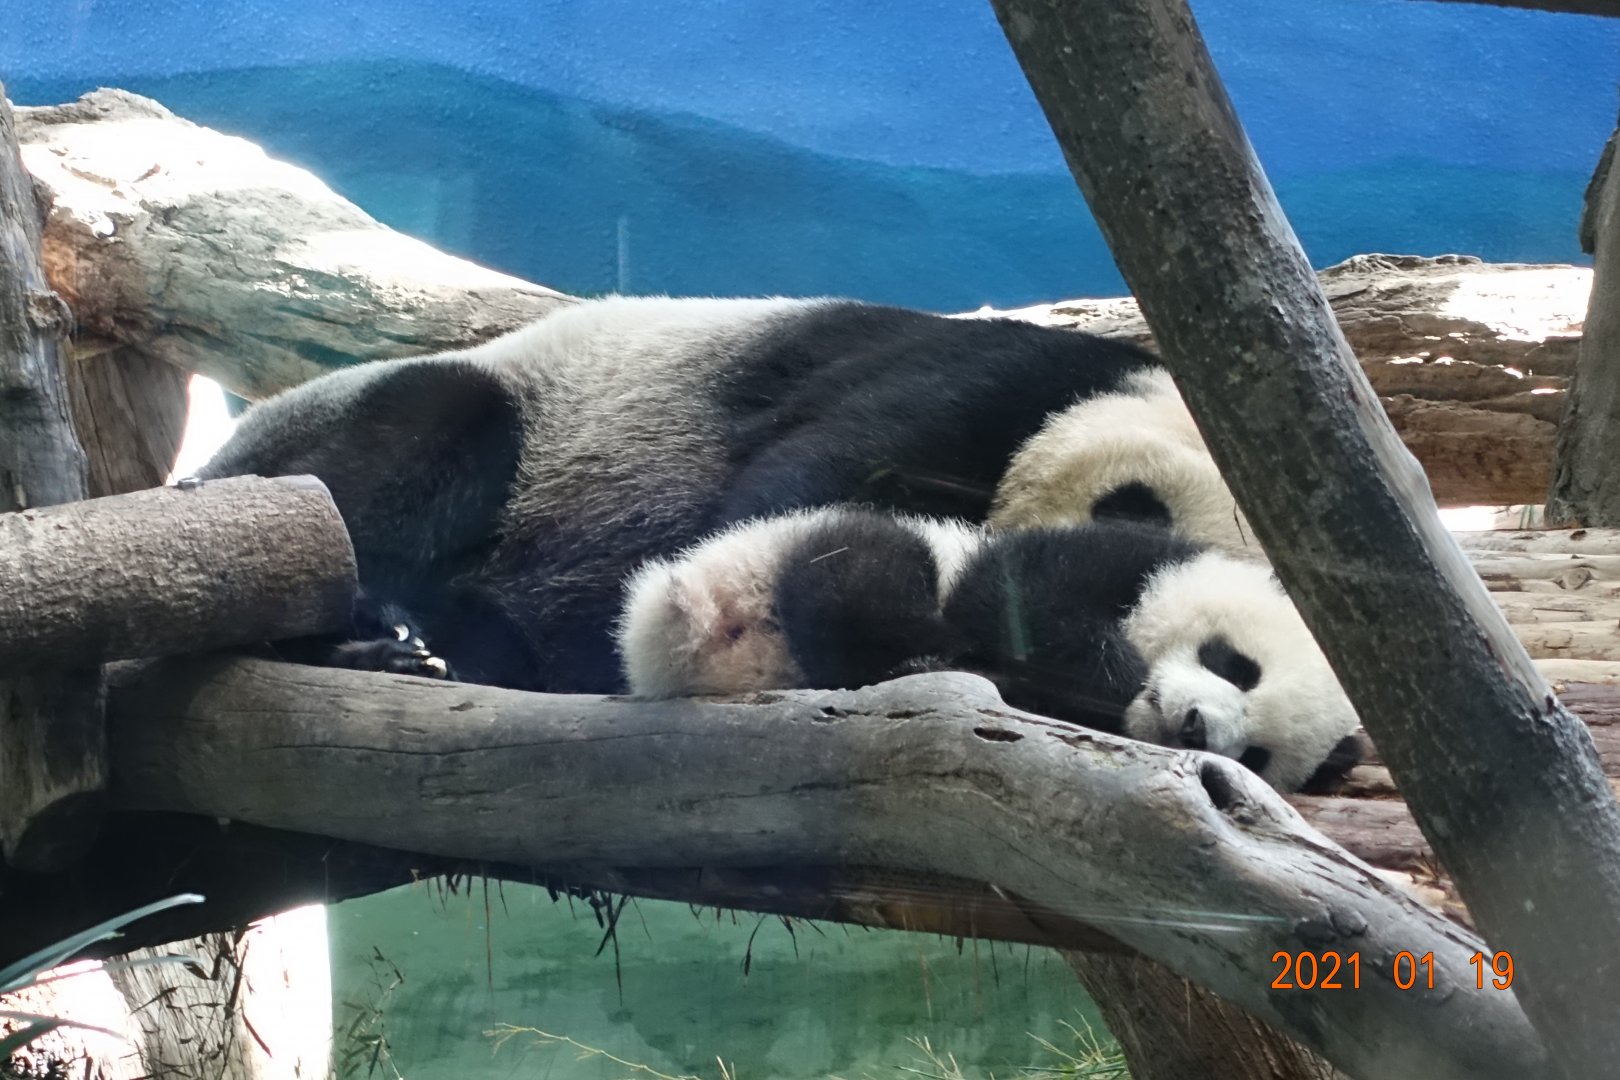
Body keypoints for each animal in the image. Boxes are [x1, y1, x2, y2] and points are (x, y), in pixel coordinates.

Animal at [617, 507, 1361, 793]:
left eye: (1256, 756)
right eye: (1236, 664)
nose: (1196, 728)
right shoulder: (1124, 555)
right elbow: (1017, 594)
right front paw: (1109, 671)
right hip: (807, 545)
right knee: (863, 577)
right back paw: (925, 658)